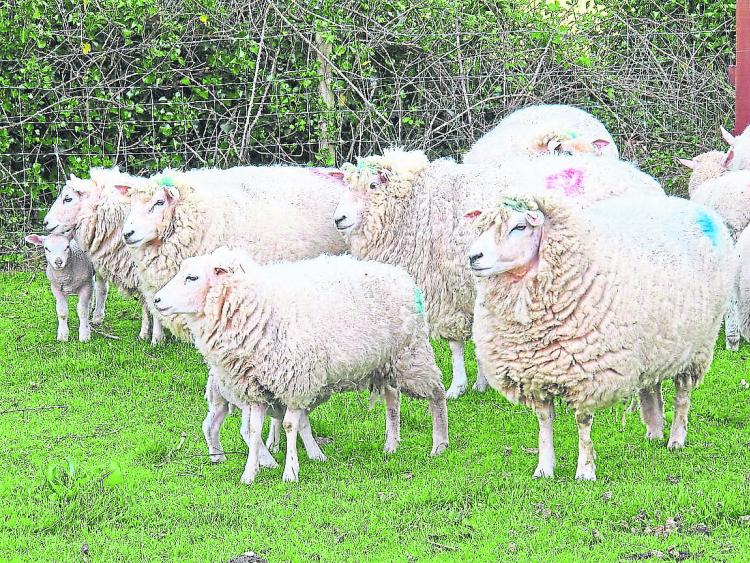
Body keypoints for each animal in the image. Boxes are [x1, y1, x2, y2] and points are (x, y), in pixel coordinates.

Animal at [44, 167, 162, 343]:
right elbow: (145, 303)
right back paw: (97, 316)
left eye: (68, 198)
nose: (45, 222)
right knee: (101, 288)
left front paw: (157, 338)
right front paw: (145, 333)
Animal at [153, 248, 449, 484]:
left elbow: (289, 426)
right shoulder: (255, 388)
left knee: (436, 393)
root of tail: (402, 276)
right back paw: (391, 444)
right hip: (385, 363)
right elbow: (253, 430)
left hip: (411, 354)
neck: (254, 305)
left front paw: (290, 472)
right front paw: (250, 473)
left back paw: (439, 444)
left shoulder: (296, 383)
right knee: (392, 400)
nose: (155, 300)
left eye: (192, 278)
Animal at [333, 149, 662, 399]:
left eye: (373, 186)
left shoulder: (449, 291)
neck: (417, 204)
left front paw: (458, 387)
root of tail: (646, 182)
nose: (338, 218)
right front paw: (481, 382)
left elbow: (455, 345)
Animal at [465, 193, 733, 480]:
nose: (473, 256)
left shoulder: (587, 377)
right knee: (652, 387)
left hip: (696, 348)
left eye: (520, 226)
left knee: (682, 396)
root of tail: (691, 205)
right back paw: (654, 431)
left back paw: (676, 439)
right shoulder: (536, 375)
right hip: (655, 345)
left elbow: (583, 424)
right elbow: (544, 422)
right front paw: (544, 468)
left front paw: (585, 471)